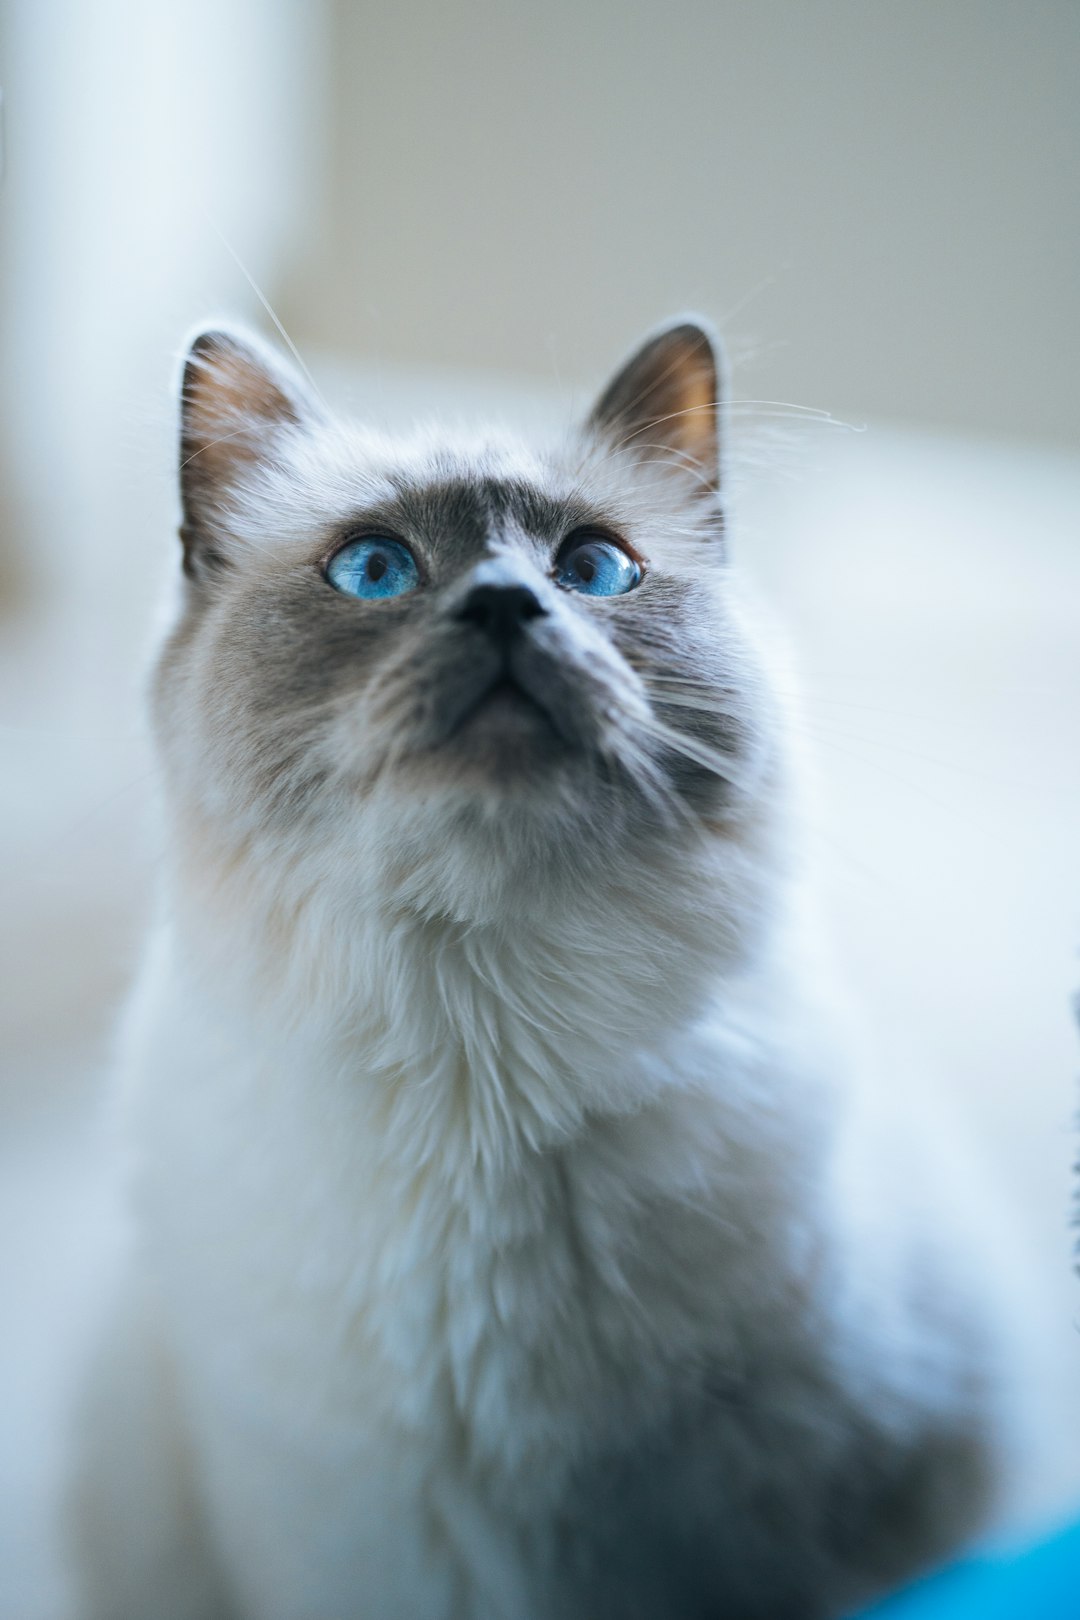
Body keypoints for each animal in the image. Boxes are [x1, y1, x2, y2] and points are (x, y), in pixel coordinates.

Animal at [69, 319, 1023, 1620]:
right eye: (376, 570)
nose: (509, 605)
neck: (483, 1061)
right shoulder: (343, 1546)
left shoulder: (768, 1543)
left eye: (593, 570)